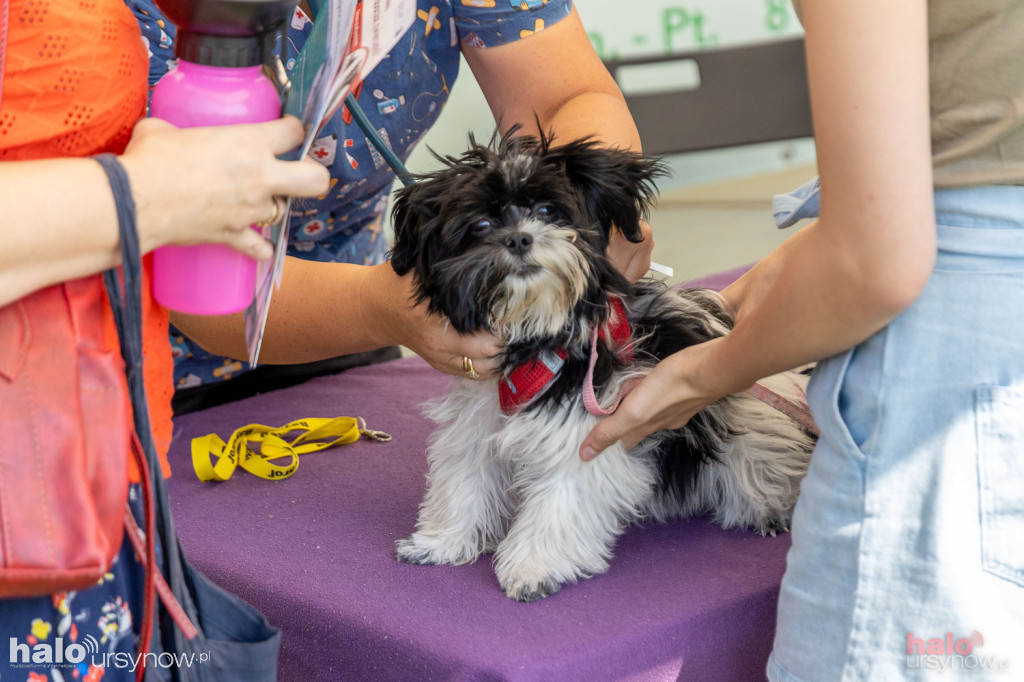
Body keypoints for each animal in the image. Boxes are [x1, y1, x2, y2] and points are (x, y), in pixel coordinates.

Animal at [387, 130, 811, 598]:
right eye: (480, 225)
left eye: (547, 211)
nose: (518, 239)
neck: (536, 333)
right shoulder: (477, 419)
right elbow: (465, 480)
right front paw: (441, 541)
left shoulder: (589, 429)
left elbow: (559, 500)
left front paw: (534, 566)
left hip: (752, 422)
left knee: (761, 454)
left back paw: (769, 505)